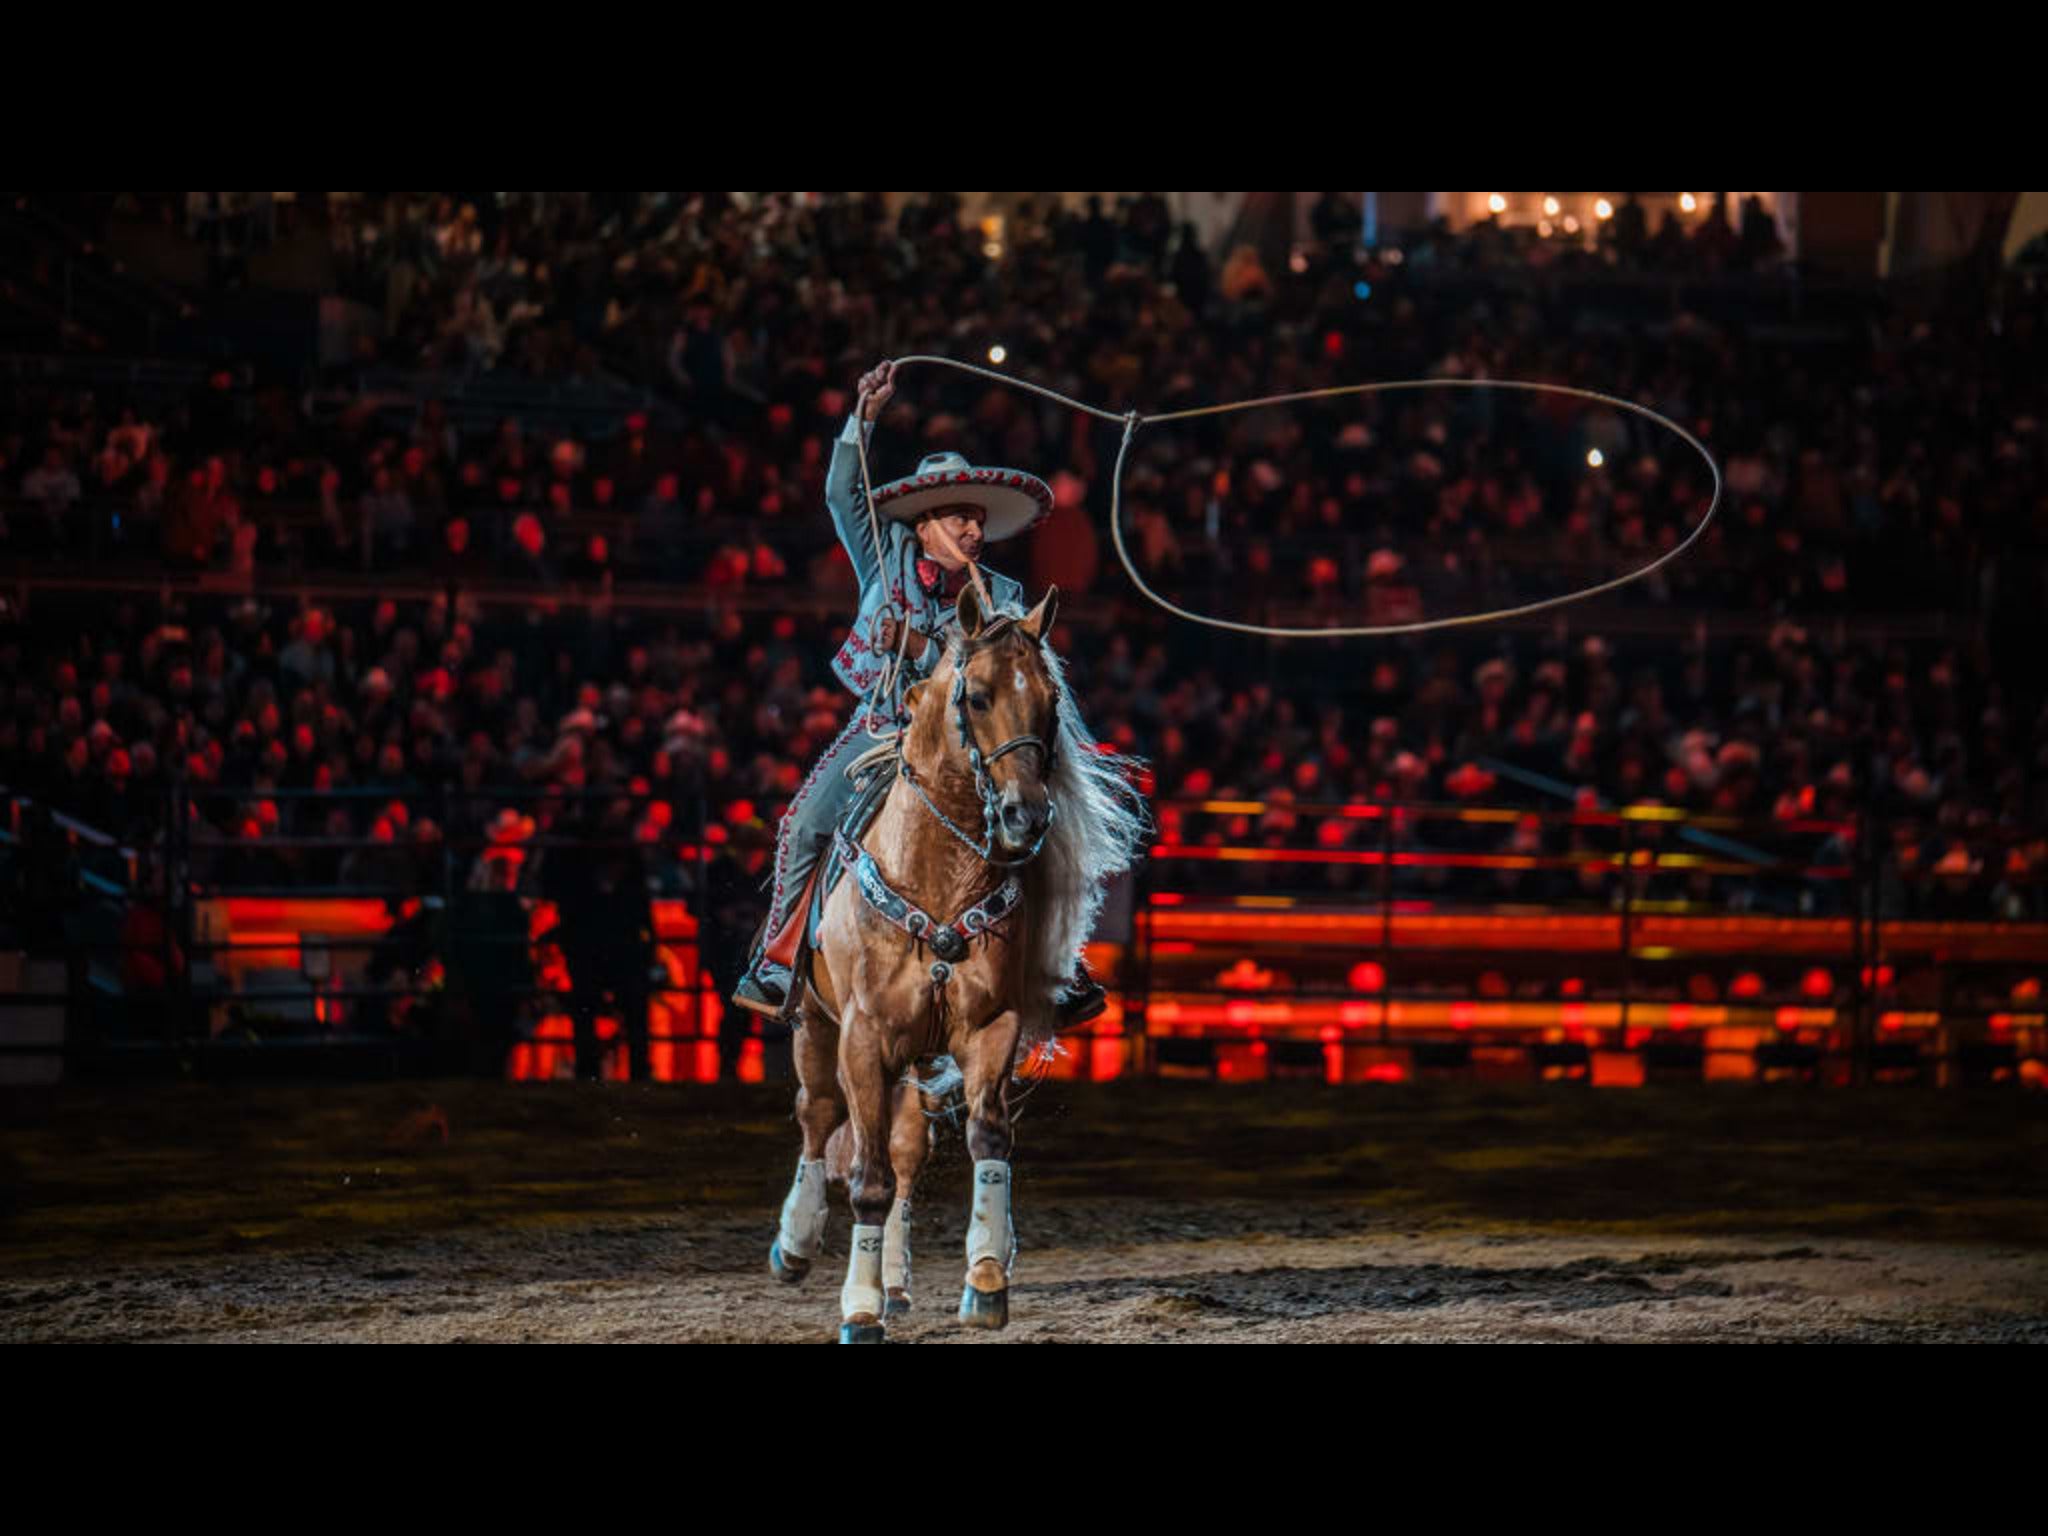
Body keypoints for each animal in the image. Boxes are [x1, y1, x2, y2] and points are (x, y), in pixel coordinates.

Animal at [765, 581, 1081, 1343]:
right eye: (978, 697)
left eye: (1050, 702)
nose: (1026, 816)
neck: (937, 875)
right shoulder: (863, 1037)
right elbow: (868, 1177)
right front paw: (859, 1308)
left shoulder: (990, 1027)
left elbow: (986, 1137)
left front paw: (987, 1277)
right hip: (815, 1024)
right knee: (818, 1116)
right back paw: (796, 1243)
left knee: (907, 1150)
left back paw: (898, 1281)